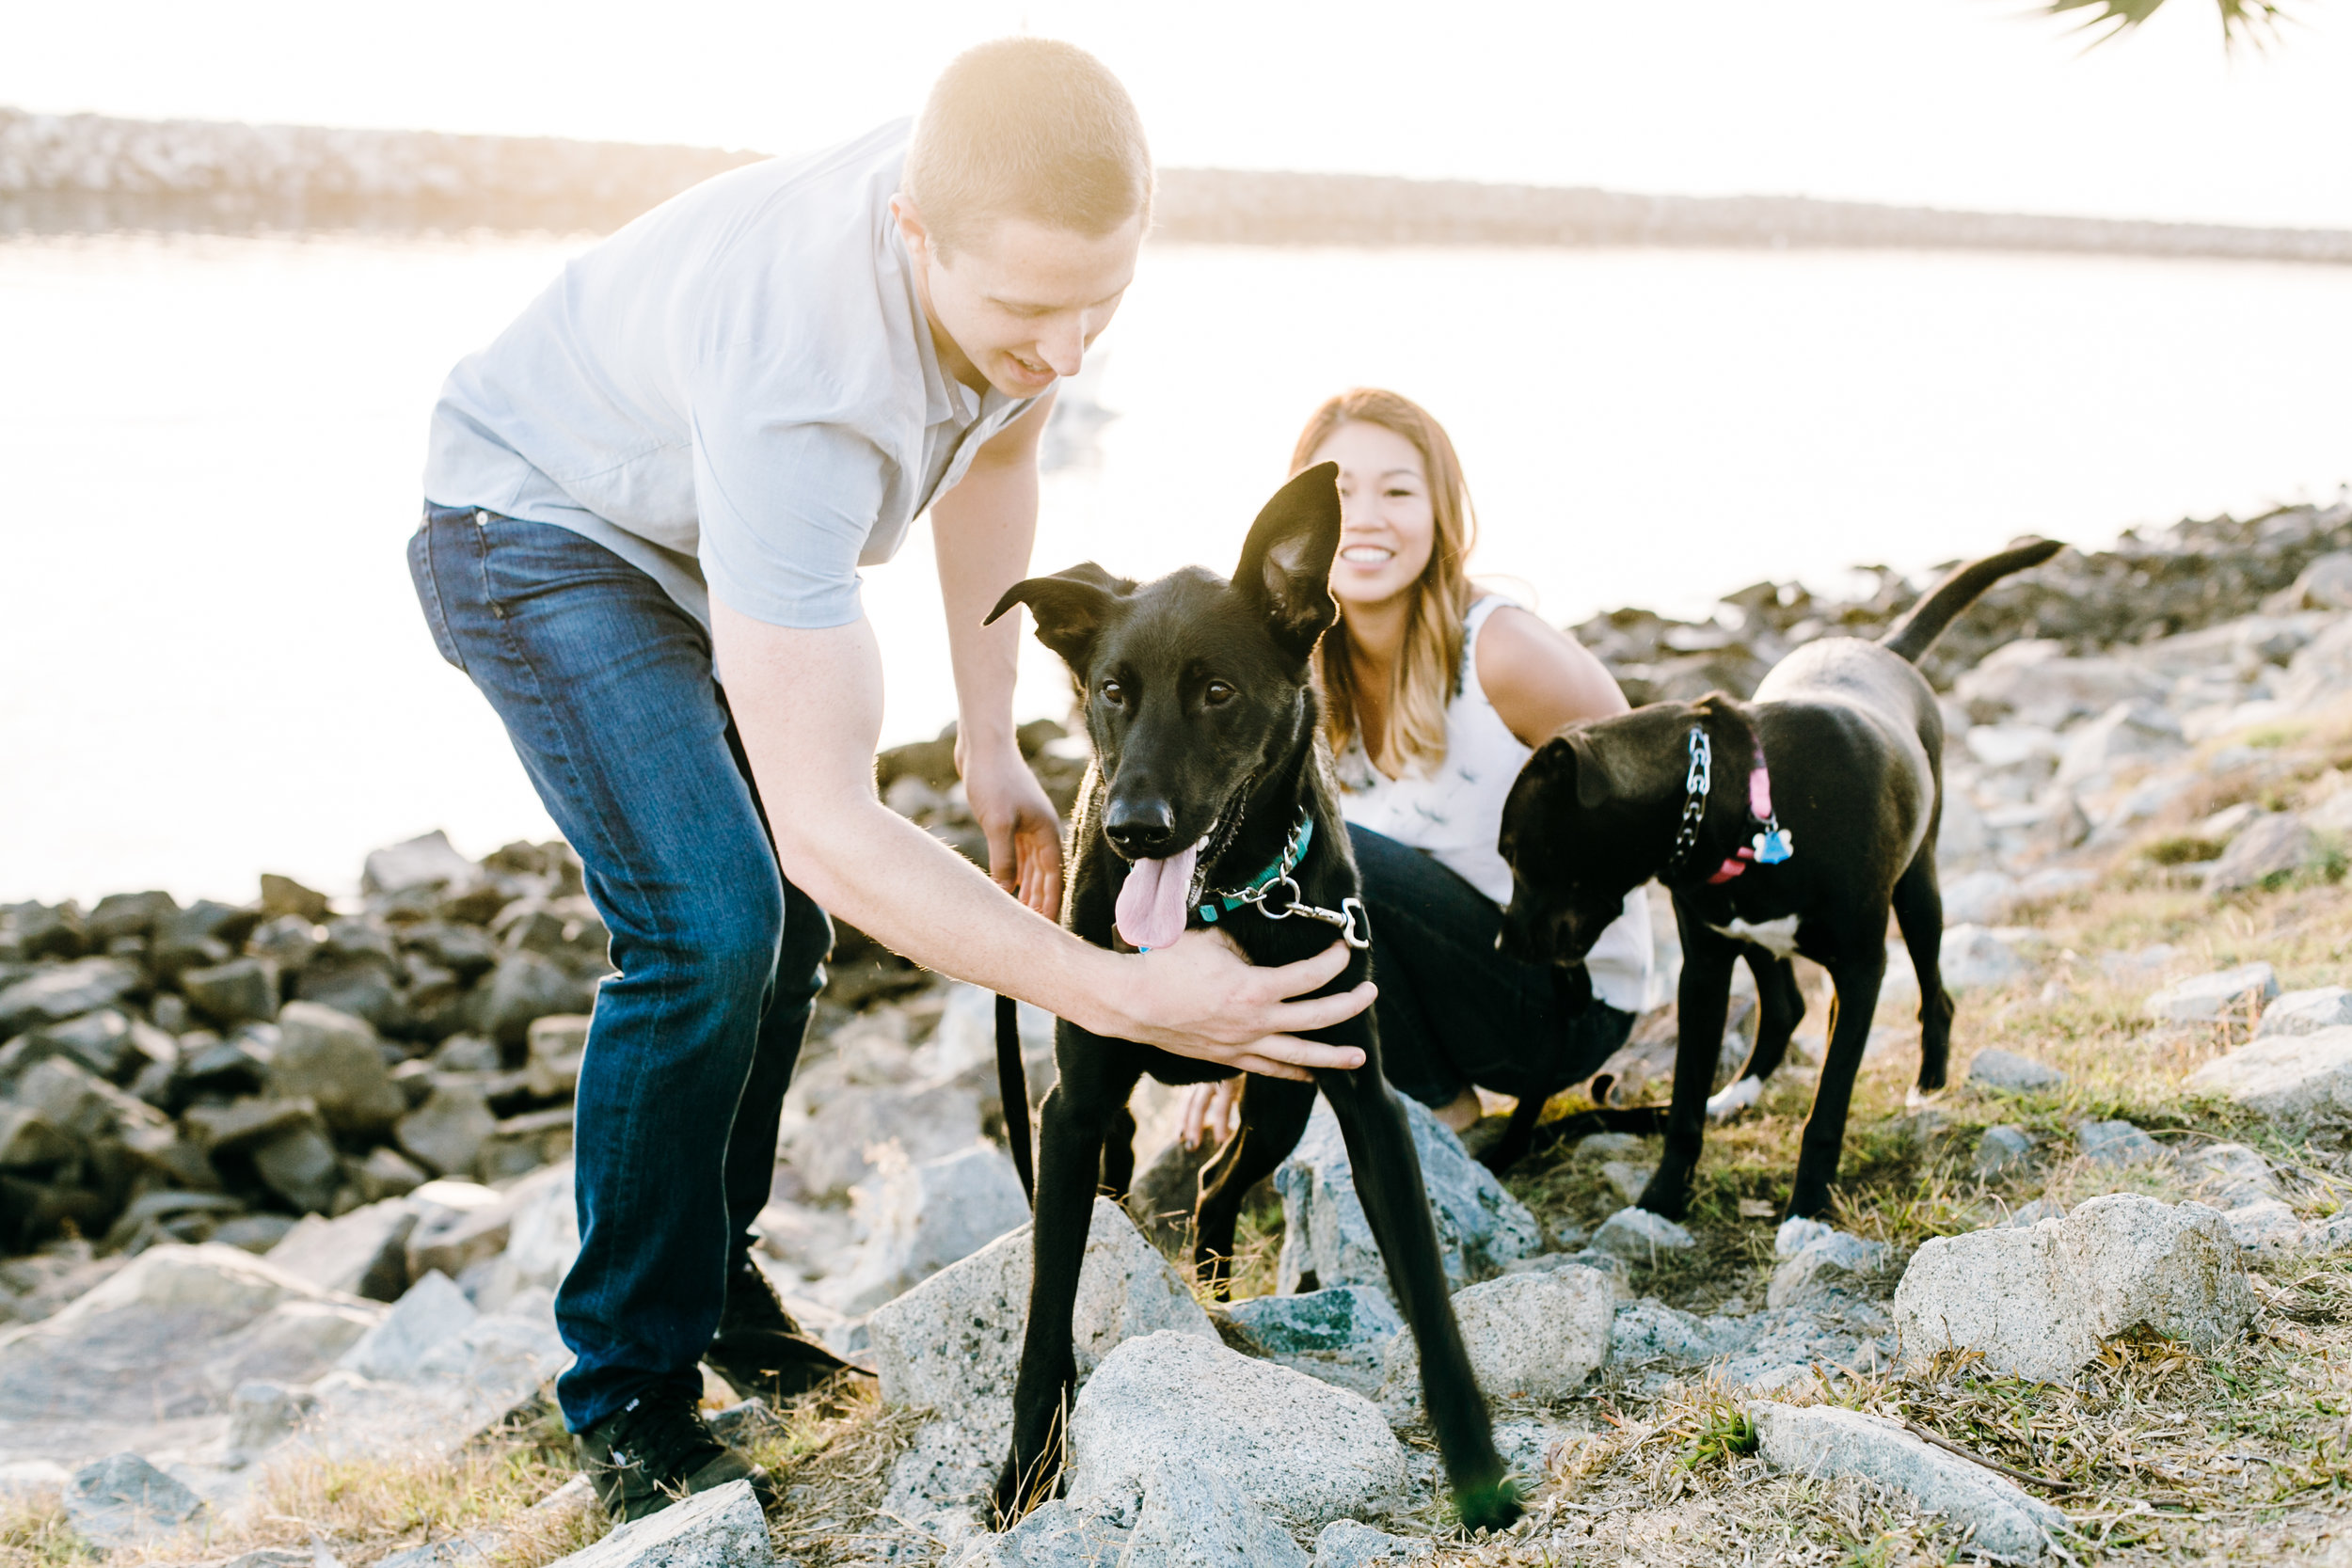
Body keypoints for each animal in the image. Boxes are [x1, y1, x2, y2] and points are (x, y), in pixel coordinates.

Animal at [978, 460, 1515, 1523]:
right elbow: (1045, 1312)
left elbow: (1426, 1289)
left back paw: (1218, 1282)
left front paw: (1475, 1464)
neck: (1224, 900)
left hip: (1279, 1099)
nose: (1134, 829)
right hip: (1113, 1127)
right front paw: (1026, 1471)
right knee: (1136, 1187)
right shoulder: (1071, 1108)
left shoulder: (1363, 1095)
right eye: (1111, 690)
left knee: (1219, 1180)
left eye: (1218, 691)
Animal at [1505, 543, 2060, 1222]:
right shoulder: (1705, 966)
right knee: (1786, 1005)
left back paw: (1928, 1084)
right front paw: (1662, 1198)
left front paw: (1809, 1204)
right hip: (1754, 934)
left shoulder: (1860, 968)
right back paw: (1736, 1093)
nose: (1504, 945)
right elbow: (1685, 1105)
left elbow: (1828, 1108)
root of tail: (1883, 648)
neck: (1731, 796)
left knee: (1935, 991)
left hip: (1918, 892)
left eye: (1512, 852)